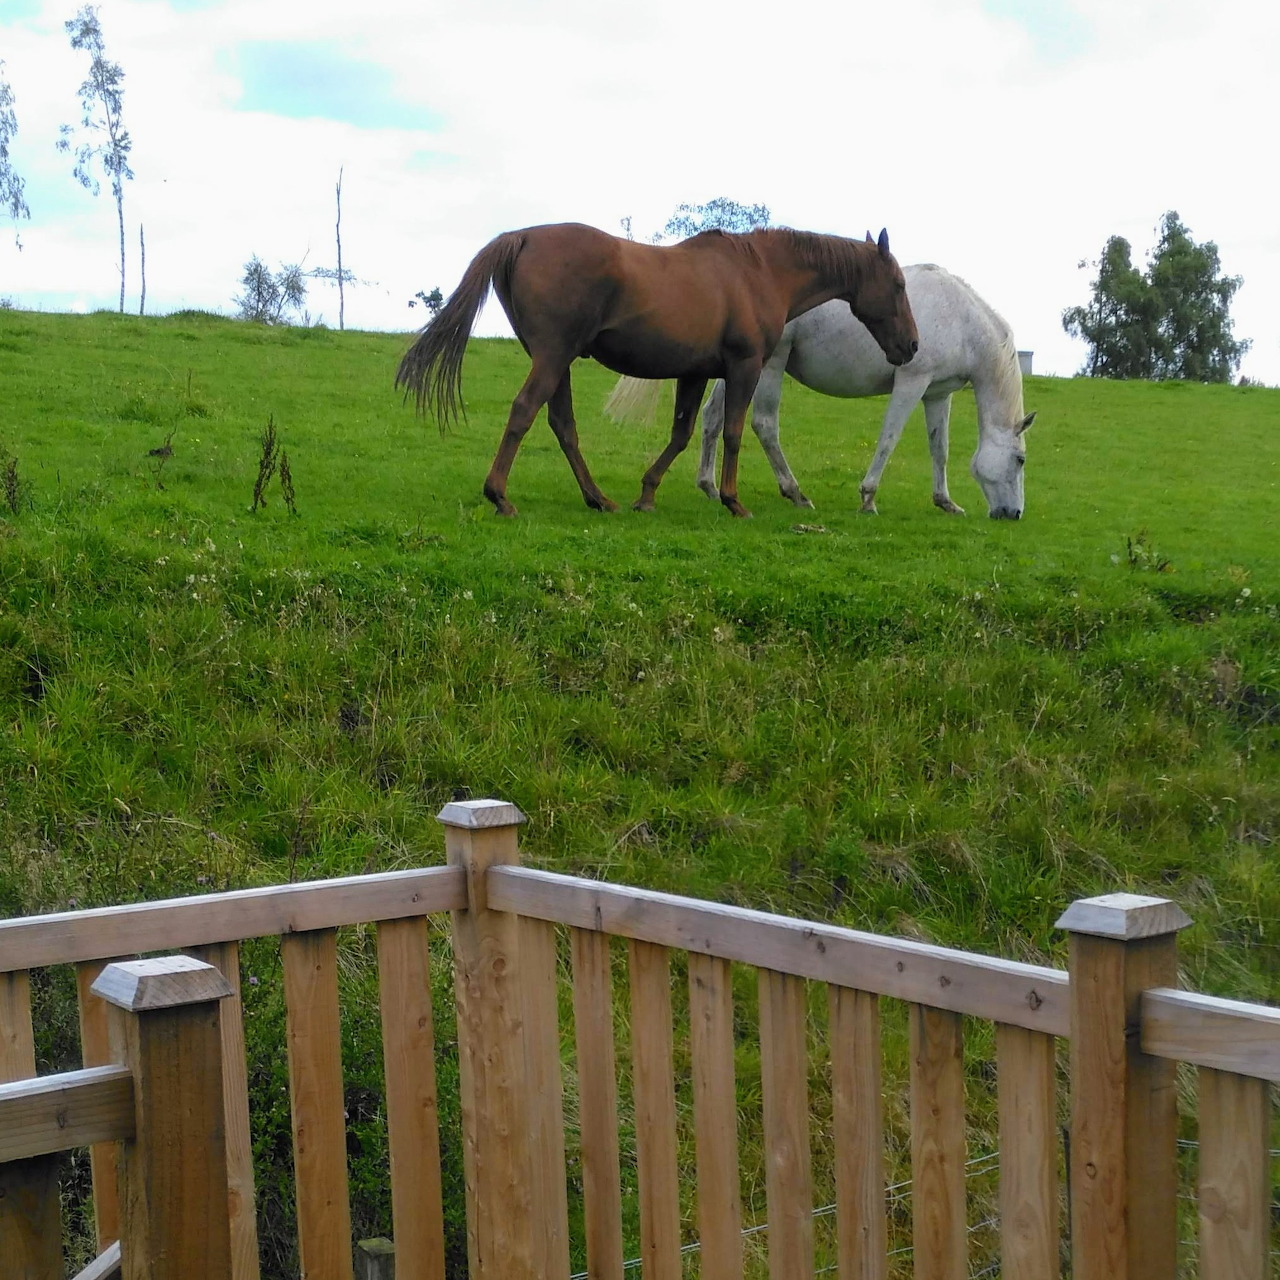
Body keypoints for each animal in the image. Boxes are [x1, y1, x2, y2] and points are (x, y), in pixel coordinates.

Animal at [395, 222, 919, 517]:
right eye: (897, 284)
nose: (912, 345)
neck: (760, 272)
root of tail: (520, 237)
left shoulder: (695, 372)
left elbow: (682, 434)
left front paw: (646, 495)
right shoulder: (744, 366)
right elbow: (733, 432)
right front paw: (732, 500)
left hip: (558, 362)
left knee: (563, 425)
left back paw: (598, 498)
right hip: (553, 357)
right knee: (525, 411)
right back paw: (500, 496)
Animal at [605, 263, 1034, 519]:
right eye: (1020, 460)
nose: (1013, 514)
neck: (961, 320)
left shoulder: (937, 393)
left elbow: (939, 449)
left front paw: (945, 501)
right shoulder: (912, 382)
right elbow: (889, 439)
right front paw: (868, 497)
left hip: (738, 370)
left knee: (713, 419)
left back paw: (710, 486)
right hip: (769, 365)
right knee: (764, 424)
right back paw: (794, 492)